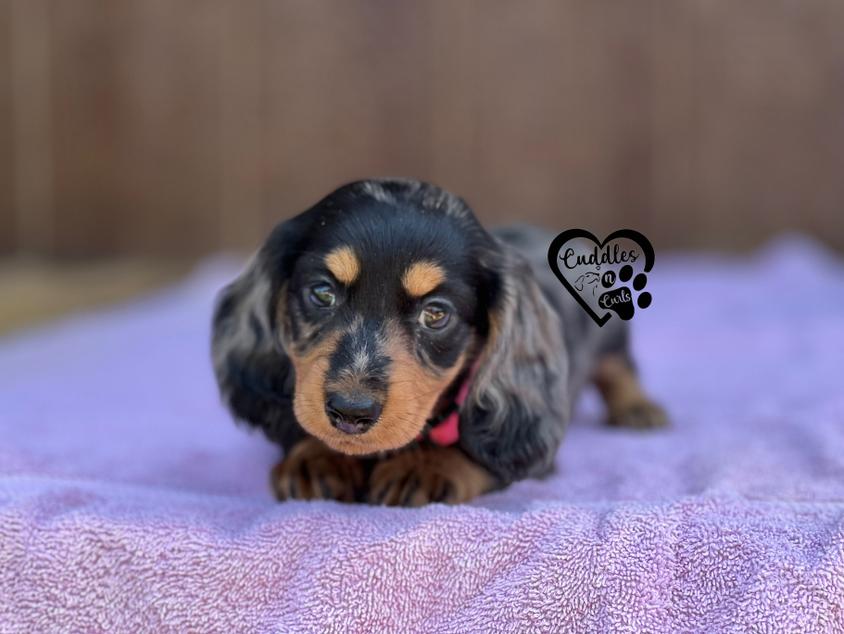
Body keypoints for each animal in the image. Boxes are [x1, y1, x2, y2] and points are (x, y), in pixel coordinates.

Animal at [211, 177, 664, 504]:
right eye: (322, 293)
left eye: (435, 314)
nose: (350, 413)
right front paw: (314, 457)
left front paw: (428, 465)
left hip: (611, 333)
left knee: (619, 367)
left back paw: (638, 407)